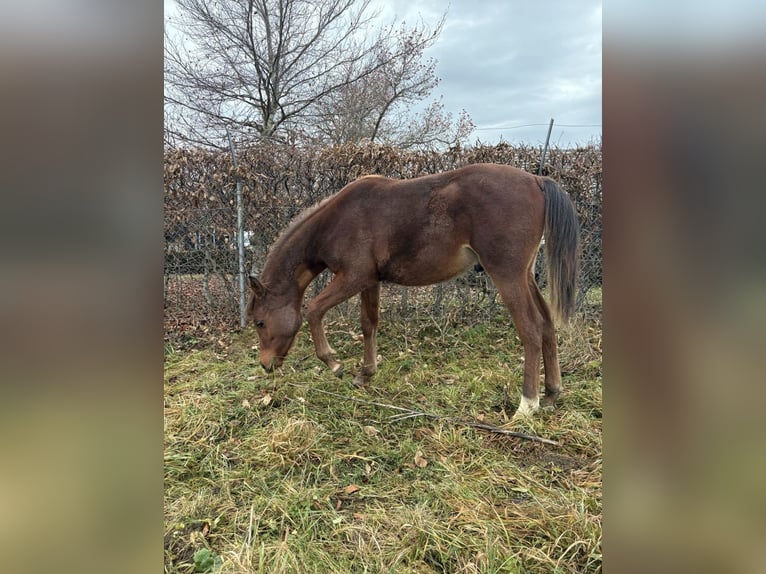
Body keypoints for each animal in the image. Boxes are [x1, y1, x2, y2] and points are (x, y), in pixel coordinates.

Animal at [247, 163, 580, 417]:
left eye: (260, 322)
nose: (265, 365)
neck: (336, 220)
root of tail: (536, 180)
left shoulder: (352, 277)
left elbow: (314, 309)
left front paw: (334, 362)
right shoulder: (370, 280)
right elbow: (368, 324)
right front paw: (365, 374)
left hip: (507, 275)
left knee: (530, 329)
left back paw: (526, 405)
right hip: (526, 277)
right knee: (547, 325)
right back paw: (551, 394)